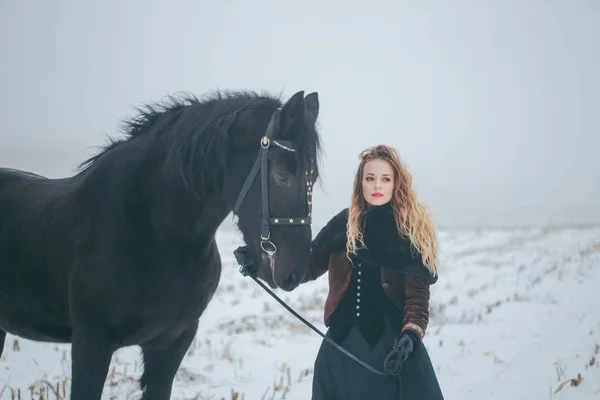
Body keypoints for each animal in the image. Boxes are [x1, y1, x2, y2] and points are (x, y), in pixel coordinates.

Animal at [0, 89, 324, 398]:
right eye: (282, 176)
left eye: (313, 178)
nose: (294, 272)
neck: (153, 235)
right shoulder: (91, 343)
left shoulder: (170, 345)